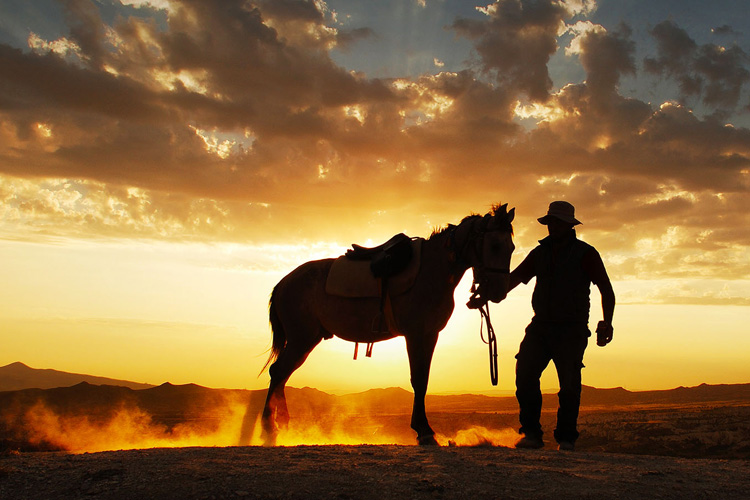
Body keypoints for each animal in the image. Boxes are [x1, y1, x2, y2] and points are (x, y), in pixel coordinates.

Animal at [262, 203, 516, 446]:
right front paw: (424, 431)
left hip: (306, 340)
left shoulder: (430, 334)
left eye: (512, 247)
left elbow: (424, 378)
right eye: (495, 245)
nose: (499, 291)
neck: (433, 270)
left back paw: (282, 424)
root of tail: (284, 283)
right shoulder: (415, 334)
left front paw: (423, 429)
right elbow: (418, 379)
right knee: (278, 372)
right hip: (301, 339)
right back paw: (268, 428)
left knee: (282, 374)